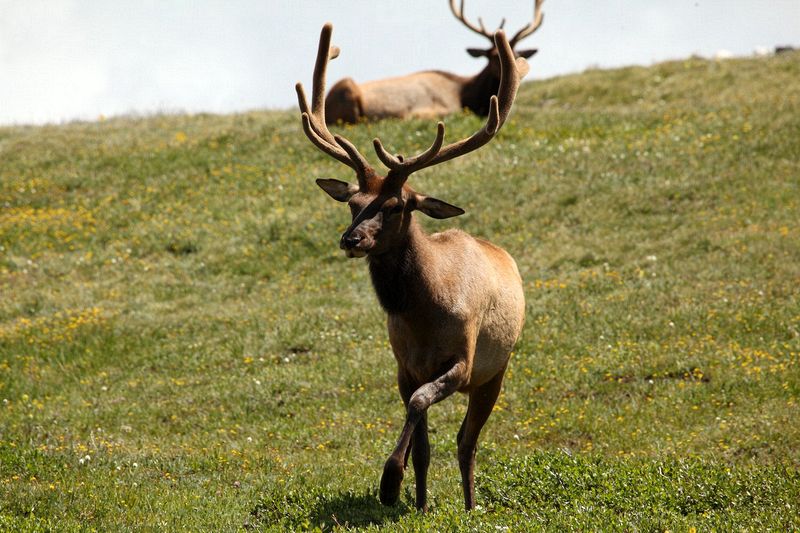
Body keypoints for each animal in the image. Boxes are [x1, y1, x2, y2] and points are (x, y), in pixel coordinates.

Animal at [296, 23, 527, 511]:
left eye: (397, 205)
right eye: (353, 203)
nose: (351, 240)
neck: (423, 313)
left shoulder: (463, 360)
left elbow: (421, 404)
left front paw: (389, 482)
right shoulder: (404, 365)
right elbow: (420, 435)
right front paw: (415, 501)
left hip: (496, 371)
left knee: (467, 441)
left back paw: (470, 506)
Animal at [324, 0, 543, 124]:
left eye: (517, 53)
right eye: (492, 55)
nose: (512, 70)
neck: (468, 96)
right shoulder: (441, 108)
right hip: (346, 87)